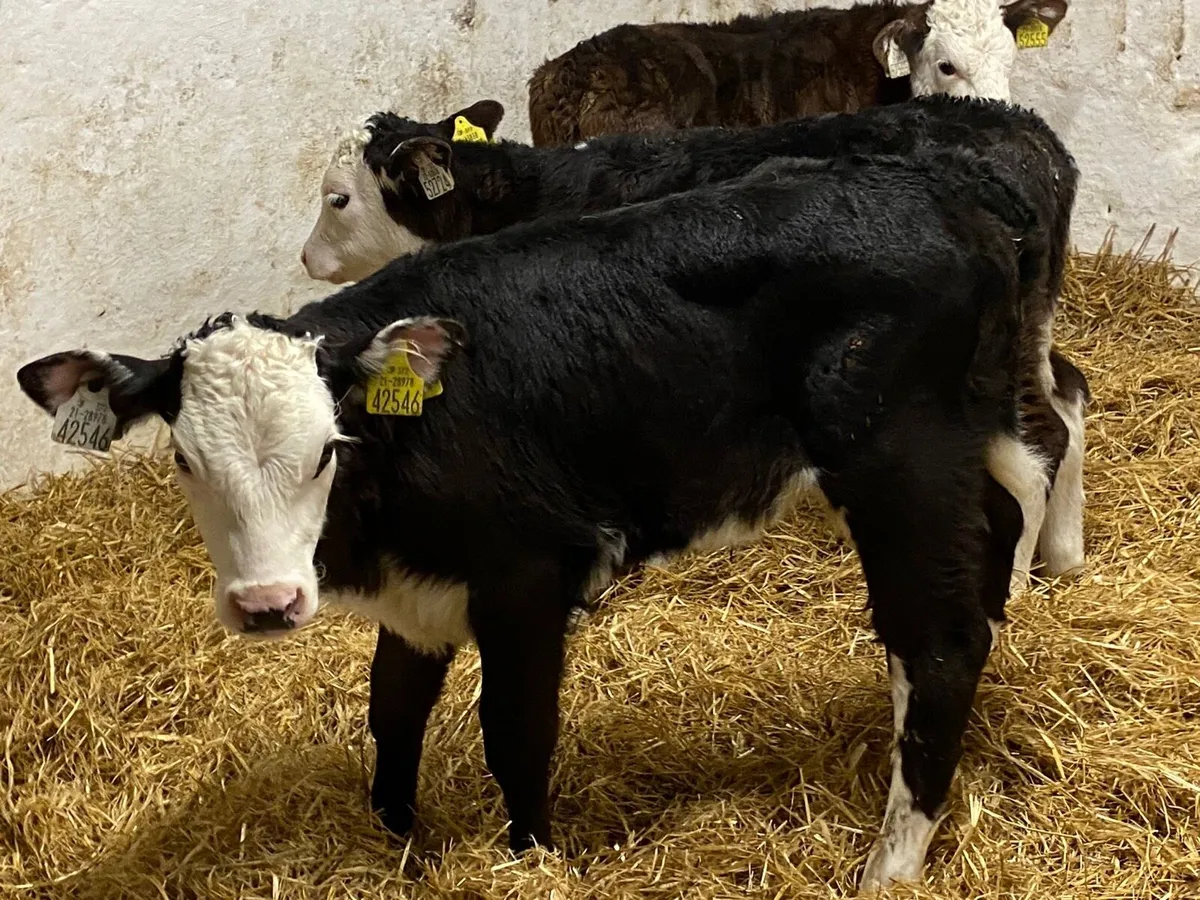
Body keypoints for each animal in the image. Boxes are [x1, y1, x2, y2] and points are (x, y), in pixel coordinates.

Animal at [23, 152, 1034, 891]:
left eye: (324, 451)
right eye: (185, 462)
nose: (267, 604)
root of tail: (940, 192)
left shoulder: (527, 577)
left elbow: (515, 731)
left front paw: (531, 857)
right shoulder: (416, 593)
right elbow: (392, 714)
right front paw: (398, 843)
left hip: (897, 456)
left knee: (937, 639)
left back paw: (890, 863)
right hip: (961, 440)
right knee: (990, 544)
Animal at [301, 94, 1089, 586]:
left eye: (337, 198)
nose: (306, 259)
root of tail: (1028, 135)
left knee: (1034, 453)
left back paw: (1017, 583)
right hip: (1023, 335)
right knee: (1068, 402)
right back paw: (1065, 556)